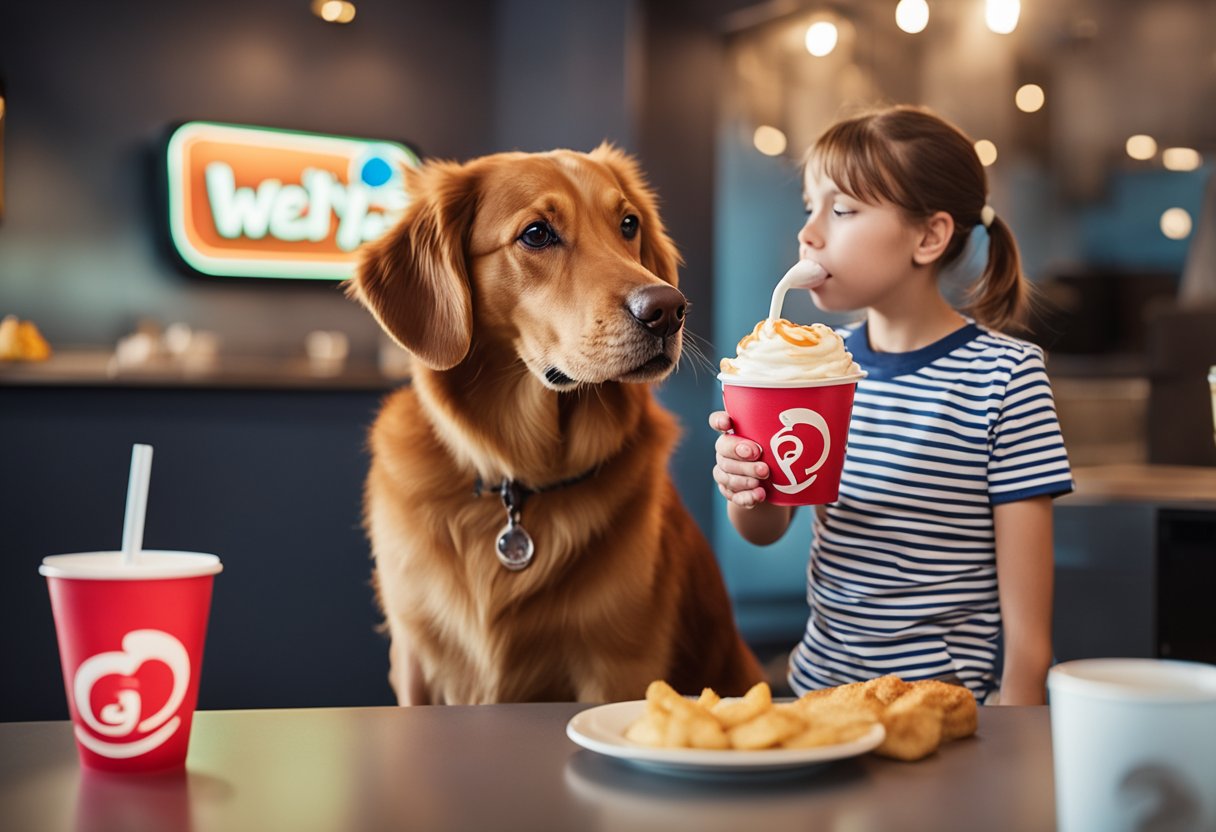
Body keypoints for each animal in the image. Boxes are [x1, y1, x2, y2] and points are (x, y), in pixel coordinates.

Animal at [345, 142, 758, 700]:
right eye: (537, 234)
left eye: (628, 224)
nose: (670, 310)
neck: (520, 479)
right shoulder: (414, 661)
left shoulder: (618, 664)